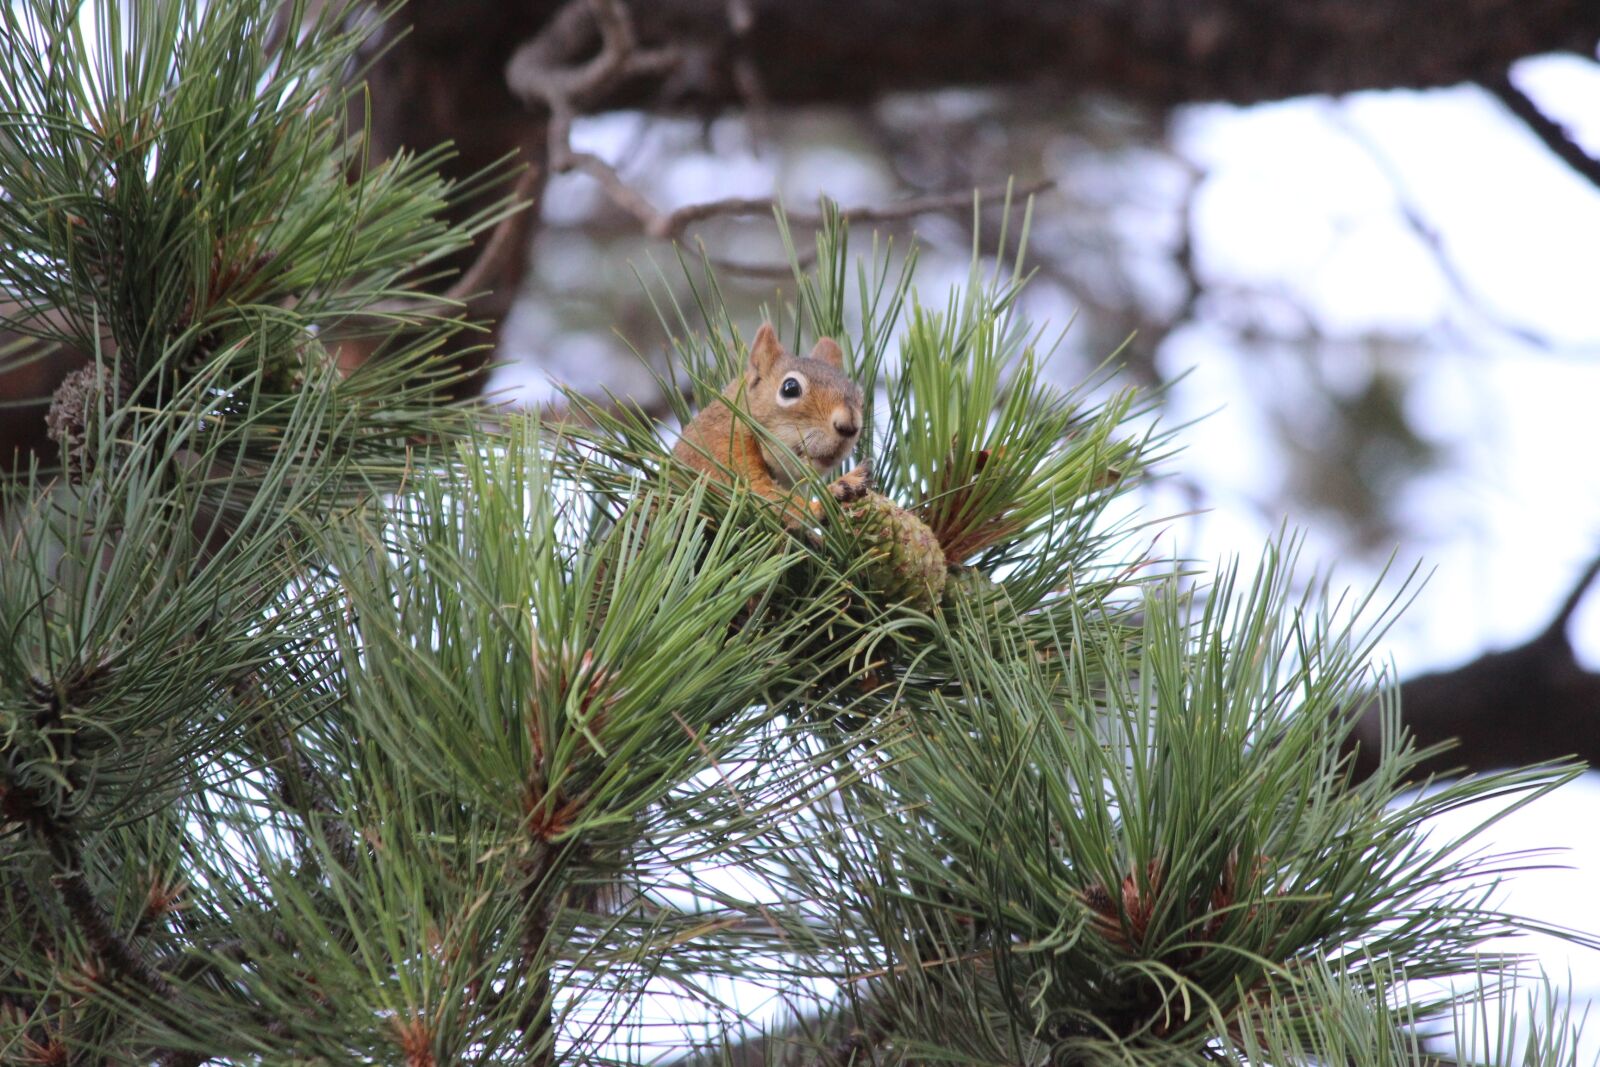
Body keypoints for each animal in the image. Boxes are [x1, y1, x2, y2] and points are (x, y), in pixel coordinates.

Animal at [671, 322, 872, 526]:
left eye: (860, 398)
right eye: (790, 388)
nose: (849, 425)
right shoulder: (724, 454)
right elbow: (761, 499)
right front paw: (837, 489)